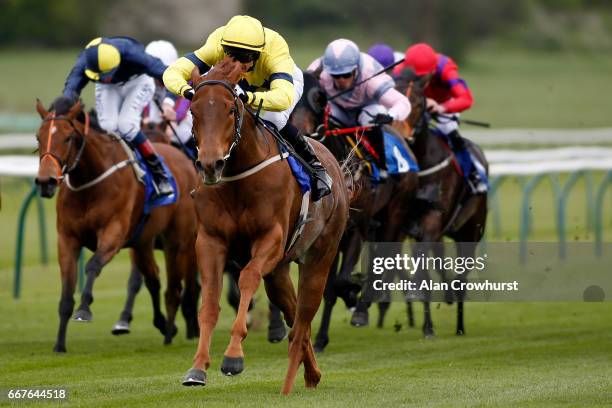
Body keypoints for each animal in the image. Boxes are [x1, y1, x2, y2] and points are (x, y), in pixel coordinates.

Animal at [34, 97, 198, 352]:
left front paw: (84, 309)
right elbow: (66, 293)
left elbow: (93, 265)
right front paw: (59, 344)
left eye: (68, 137)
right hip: (143, 243)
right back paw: (165, 325)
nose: (45, 181)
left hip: (179, 242)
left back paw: (174, 332)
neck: (90, 183)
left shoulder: (113, 233)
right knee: (153, 279)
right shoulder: (67, 239)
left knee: (176, 288)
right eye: (38, 137)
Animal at [183, 55, 350, 394]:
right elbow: (210, 302)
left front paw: (233, 357)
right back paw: (312, 373)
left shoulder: (269, 238)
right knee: (295, 315)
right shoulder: (210, 240)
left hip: (320, 255)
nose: (210, 164)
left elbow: (247, 278)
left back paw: (290, 383)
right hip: (279, 271)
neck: (238, 177)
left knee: (304, 316)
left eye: (230, 109)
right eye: (193, 110)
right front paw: (198, 368)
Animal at [290, 70, 418, 350]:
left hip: (394, 214)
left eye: (320, 98)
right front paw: (320, 338)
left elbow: (340, 280)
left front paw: (353, 296)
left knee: (386, 258)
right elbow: (328, 287)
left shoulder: (355, 228)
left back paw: (364, 303)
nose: (302, 134)